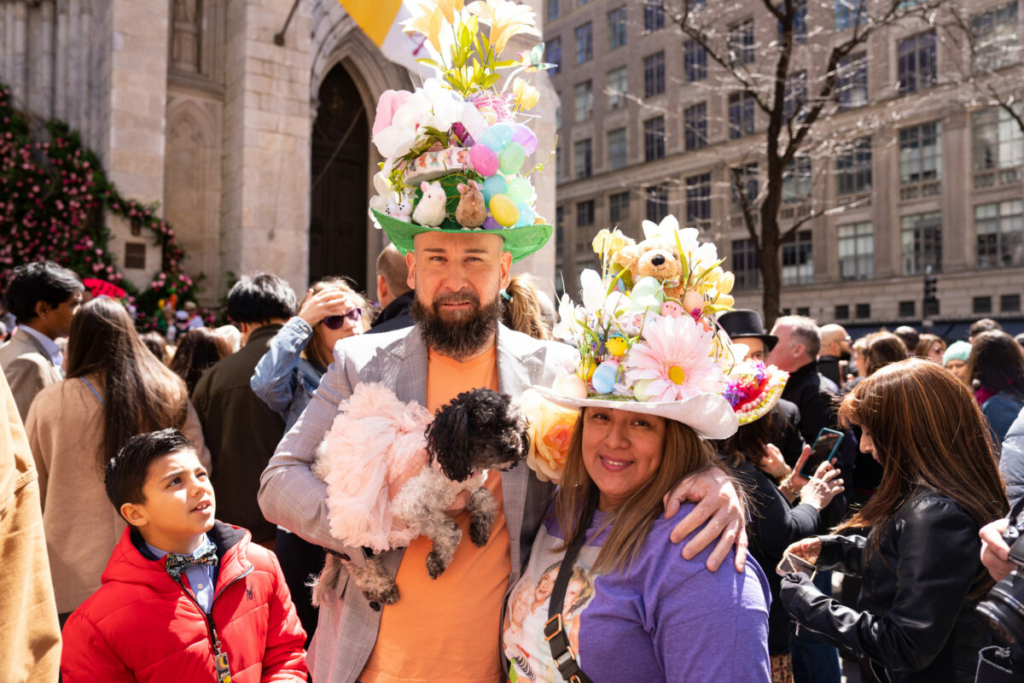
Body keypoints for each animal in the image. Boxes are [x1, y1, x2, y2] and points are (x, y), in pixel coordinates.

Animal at [309, 382, 528, 606]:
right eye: (483, 427)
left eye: (512, 424)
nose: (513, 447)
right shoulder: (410, 505)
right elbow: (450, 530)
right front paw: (438, 560)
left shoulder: (465, 490)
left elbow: (485, 499)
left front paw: (480, 528)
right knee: (355, 558)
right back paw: (380, 587)